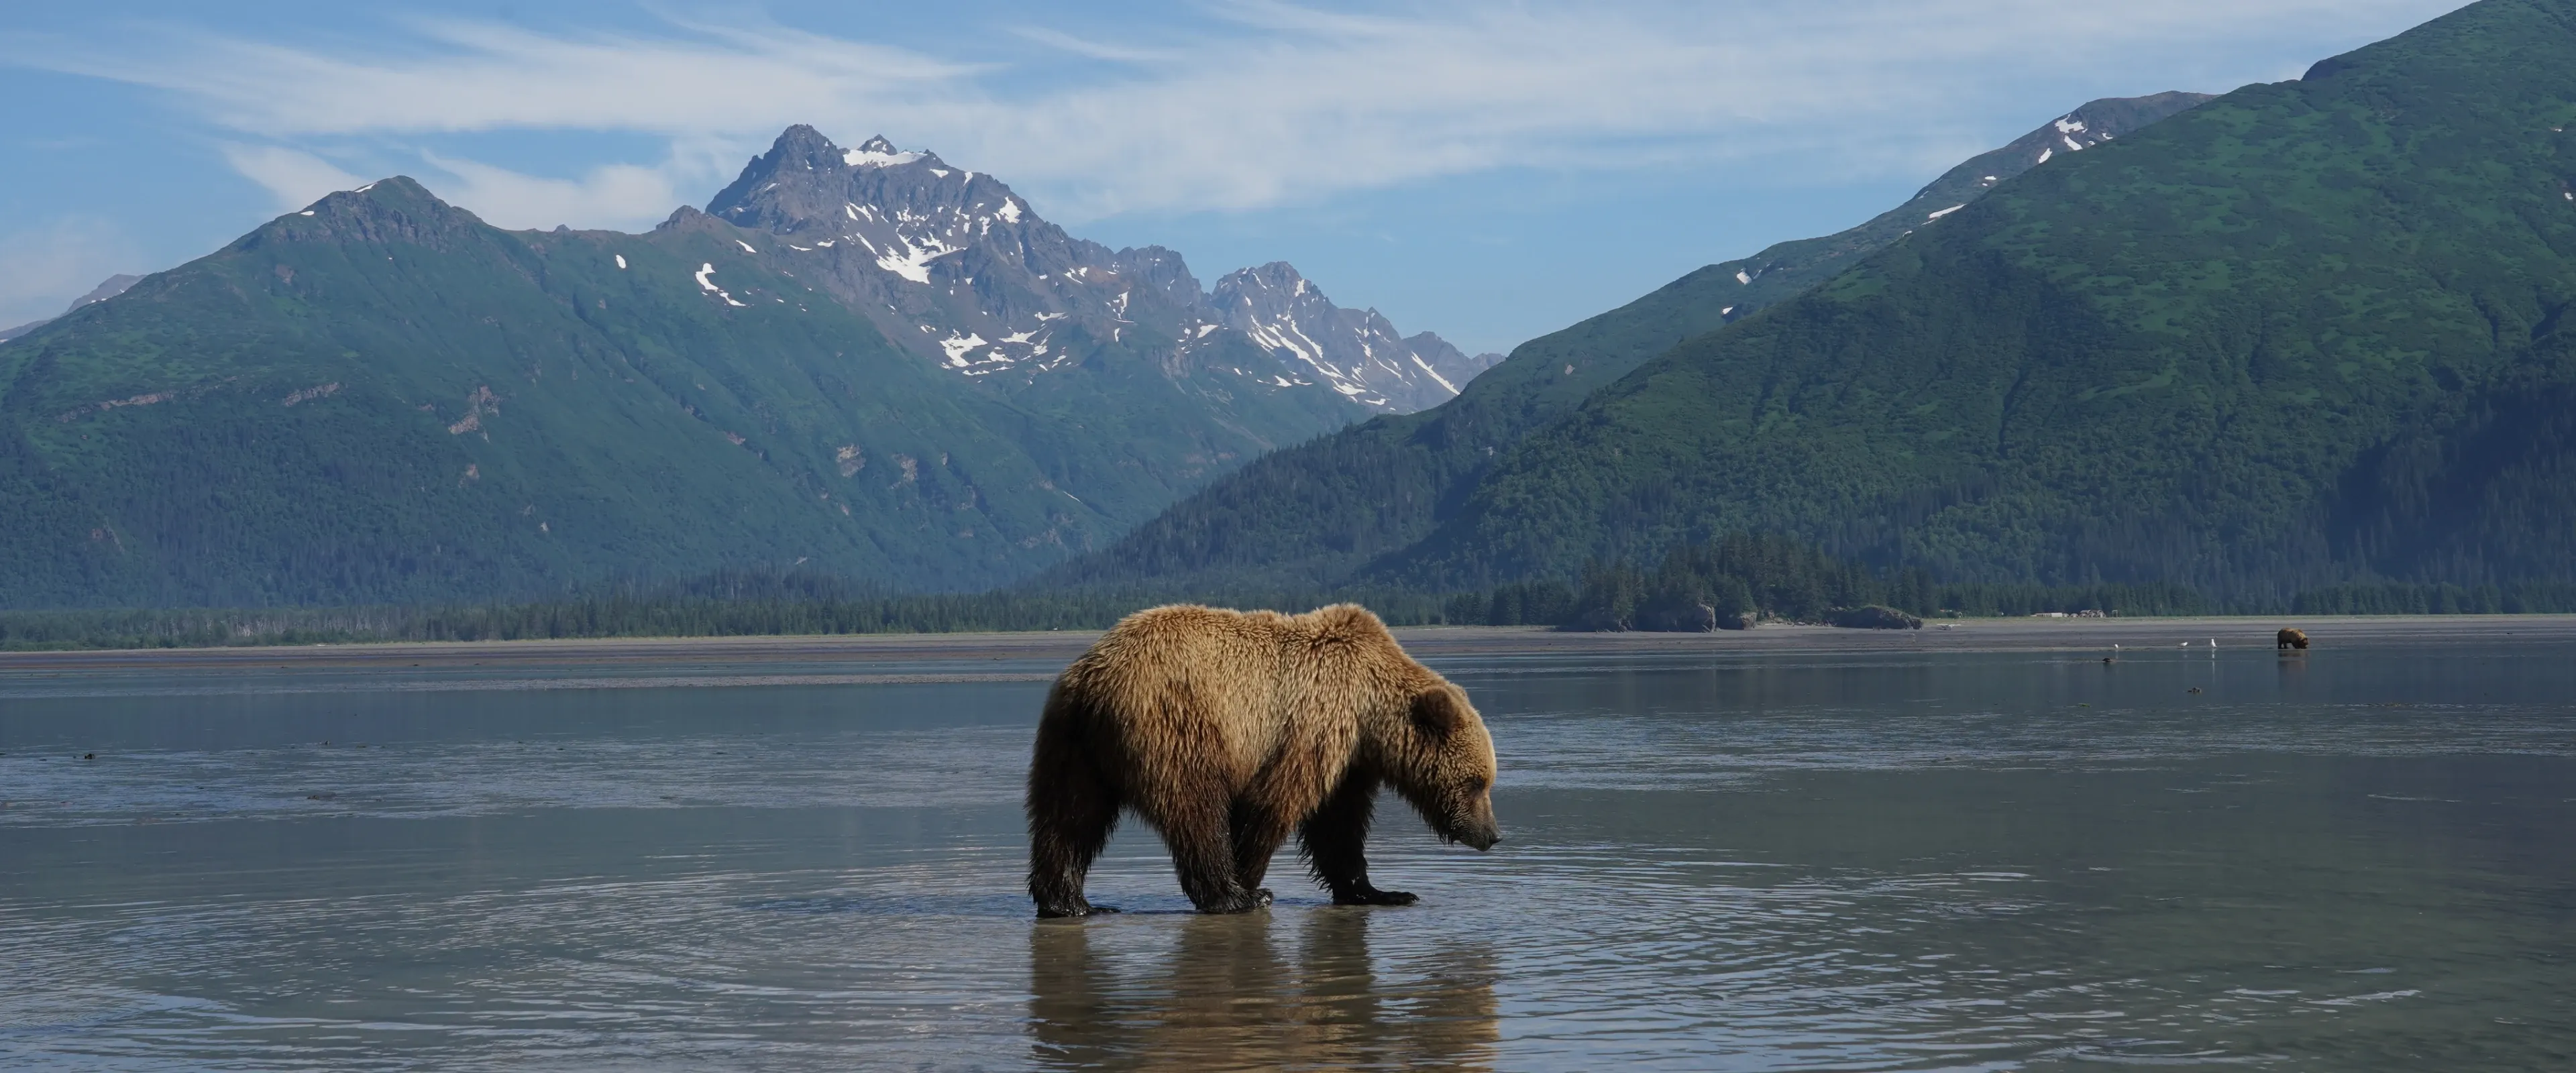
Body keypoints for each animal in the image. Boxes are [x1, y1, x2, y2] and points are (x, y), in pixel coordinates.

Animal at [1025, 603, 1501, 918]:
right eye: (1476, 783)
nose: (1492, 835)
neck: (1368, 712)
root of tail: (1093, 680)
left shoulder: (1349, 762)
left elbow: (1340, 828)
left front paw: (1384, 892)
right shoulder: (1315, 724)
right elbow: (1274, 805)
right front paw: (1251, 881)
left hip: (1072, 743)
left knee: (1069, 818)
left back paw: (1071, 902)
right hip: (1176, 725)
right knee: (1195, 809)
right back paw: (1234, 896)